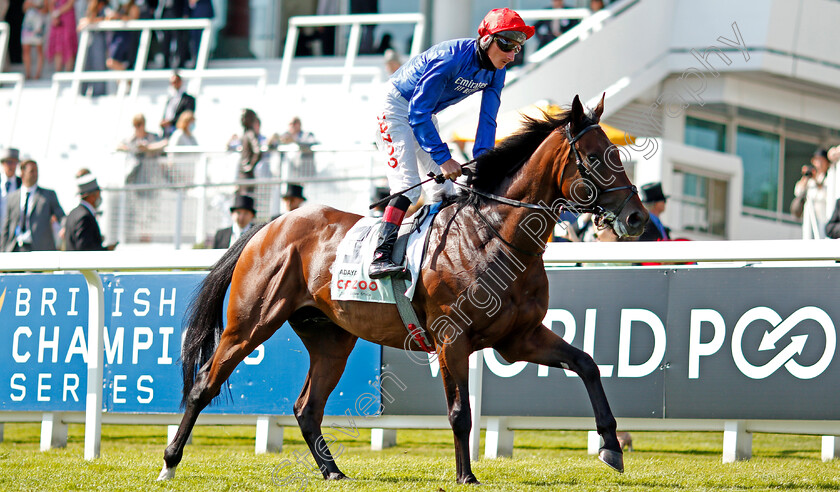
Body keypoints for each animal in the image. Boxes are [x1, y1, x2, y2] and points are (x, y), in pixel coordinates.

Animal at [162, 95, 648, 484]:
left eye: (618, 153)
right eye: (596, 157)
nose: (638, 218)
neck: (493, 235)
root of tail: (272, 224)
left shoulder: (519, 337)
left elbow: (586, 364)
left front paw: (611, 446)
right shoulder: (453, 339)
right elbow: (460, 412)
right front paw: (466, 476)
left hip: (330, 337)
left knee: (307, 407)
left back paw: (333, 471)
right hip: (250, 323)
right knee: (204, 384)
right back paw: (170, 461)